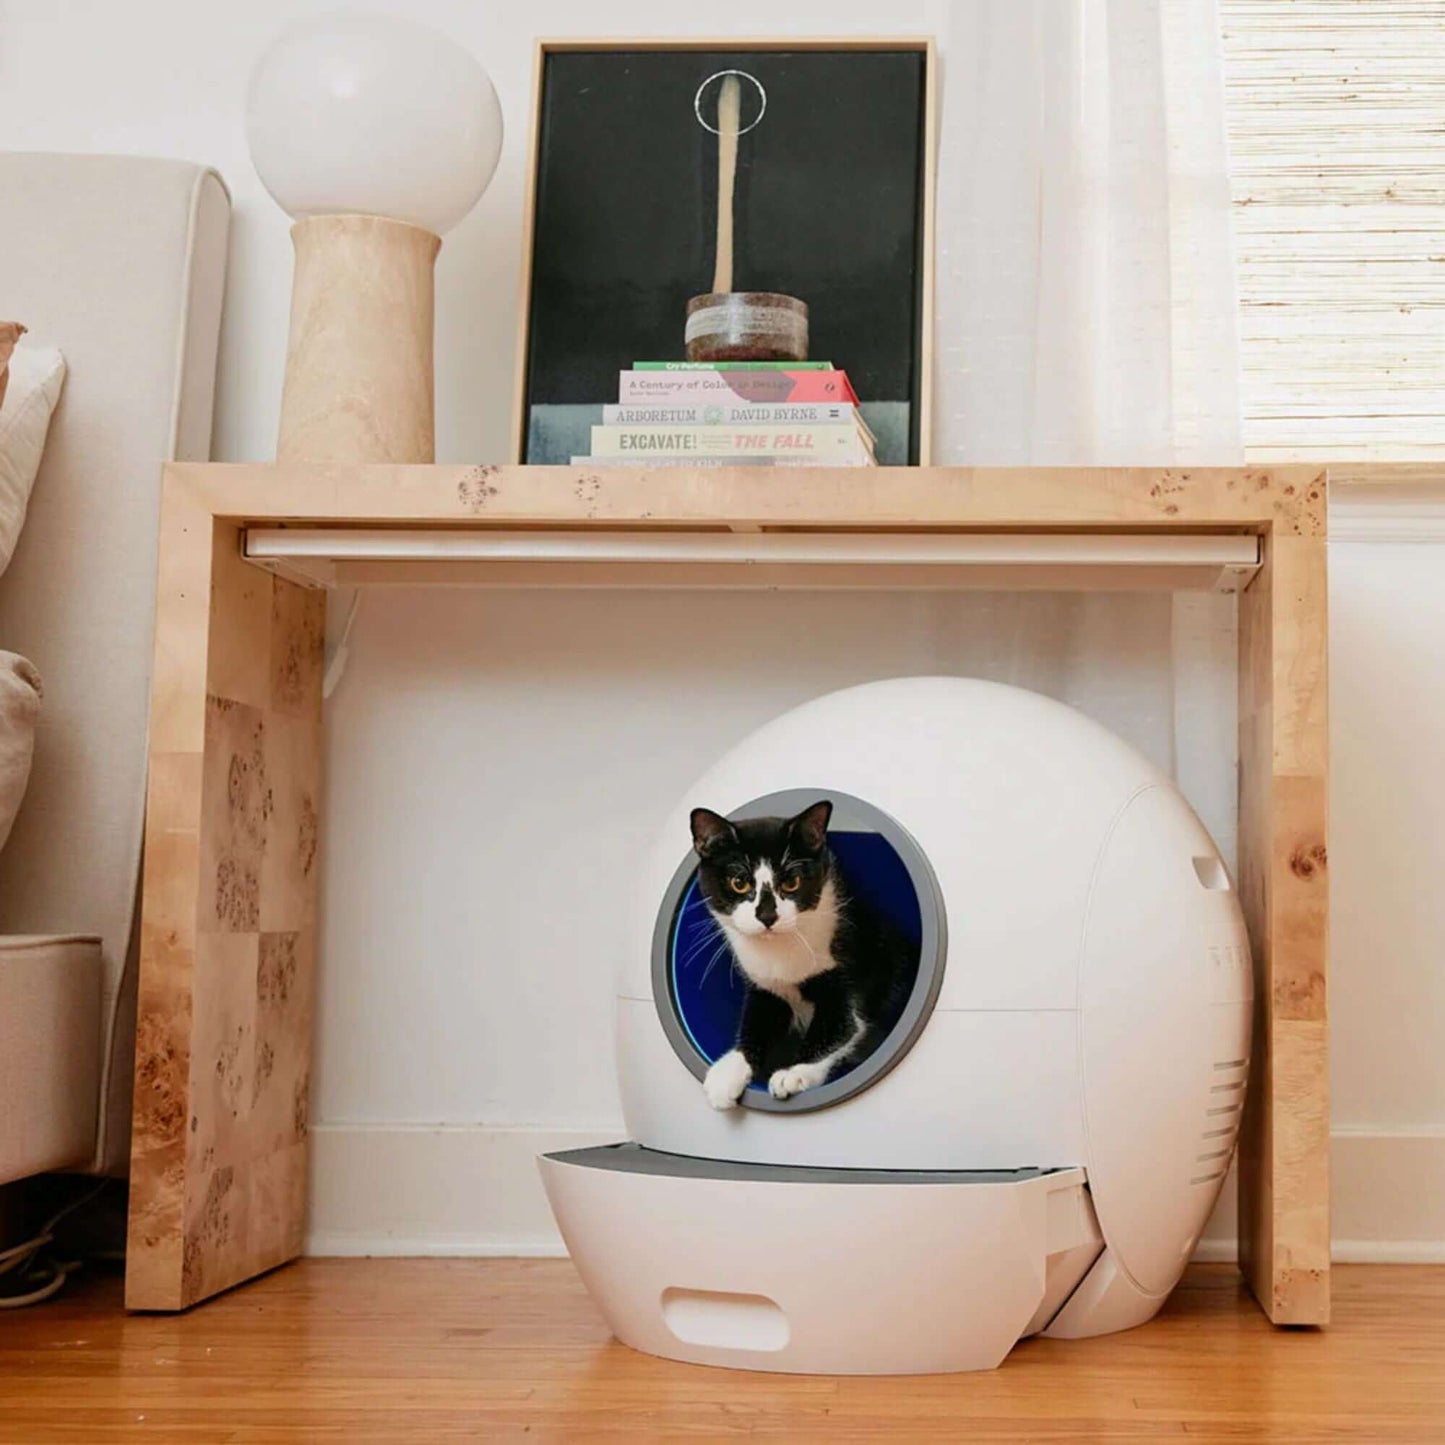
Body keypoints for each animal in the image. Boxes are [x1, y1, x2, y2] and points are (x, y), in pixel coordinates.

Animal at [690, 803, 913, 1103]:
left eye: (791, 882)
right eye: (739, 882)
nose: (767, 916)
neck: (780, 954)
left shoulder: (846, 971)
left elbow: (840, 1026)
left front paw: (793, 1073)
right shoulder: (765, 988)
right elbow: (756, 1023)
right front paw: (727, 1074)